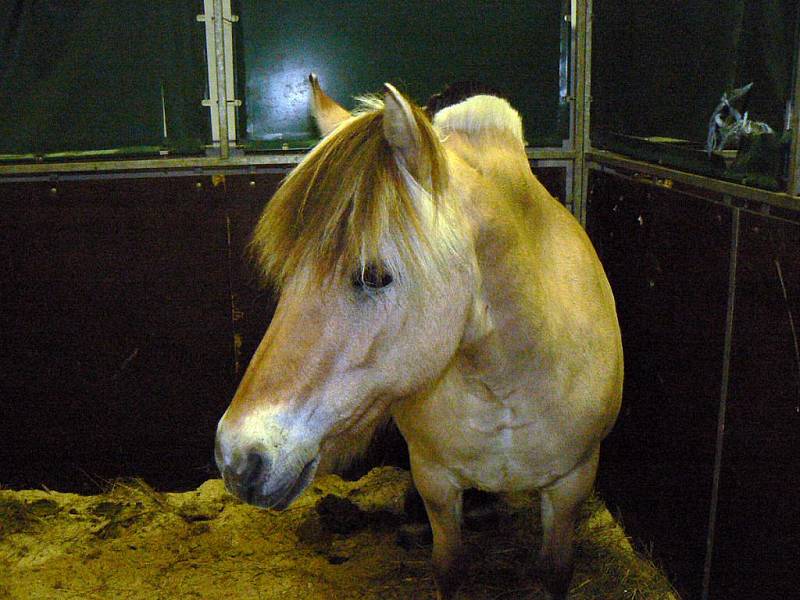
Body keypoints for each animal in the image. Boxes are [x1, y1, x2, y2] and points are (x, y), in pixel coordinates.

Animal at [216, 75, 620, 600]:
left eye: (374, 275)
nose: (236, 459)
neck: (505, 377)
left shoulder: (571, 484)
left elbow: (554, 571)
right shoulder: (436, 482)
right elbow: (448, 566)